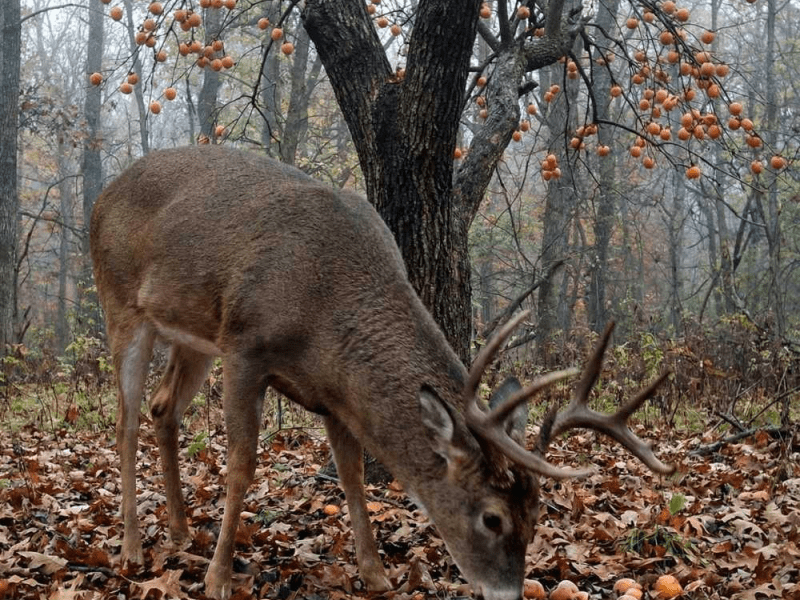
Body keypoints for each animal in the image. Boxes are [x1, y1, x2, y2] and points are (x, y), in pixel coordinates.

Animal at [90, 145, 675, 600]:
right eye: (492, 517)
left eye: (537, 514)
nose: (506, 592)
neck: (325, 307)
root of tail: (100, 196)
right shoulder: (244, 346)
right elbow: (241, 466)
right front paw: (217, 579)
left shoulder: (334, 393)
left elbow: (352, 476)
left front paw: (375, 575)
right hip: (121, 305)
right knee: (124, 423)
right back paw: (132, 546)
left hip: (190, 337)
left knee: (163, 409)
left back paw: (180, 531)